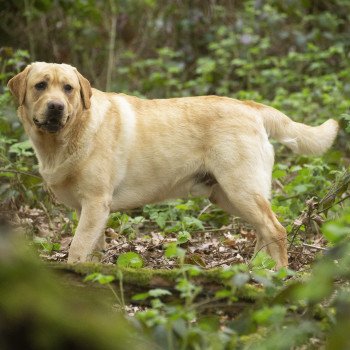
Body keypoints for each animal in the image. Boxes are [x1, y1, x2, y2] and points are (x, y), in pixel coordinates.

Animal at [8, 63, 338, 266]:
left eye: (68, 88)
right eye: (40, 86)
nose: (56, 107)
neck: (66, 137)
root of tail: (250, 106)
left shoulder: (95, 203)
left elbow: (77, 248)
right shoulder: (89, 209)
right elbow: (93, 250)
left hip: (241, 189)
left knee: (276, 228)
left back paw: (277, 273)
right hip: (228, 195)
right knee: (263, 229)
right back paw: (257, 269)